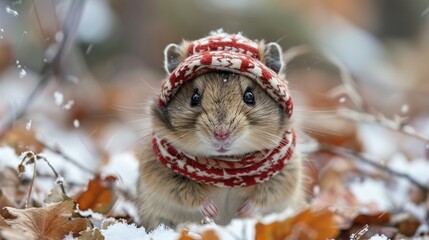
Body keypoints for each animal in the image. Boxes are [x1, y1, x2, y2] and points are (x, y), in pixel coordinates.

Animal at [137, 32, 304, 230]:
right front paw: (213, 212)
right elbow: (188, 195)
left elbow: (264, 196)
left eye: (250, 96)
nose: (221, 134)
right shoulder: (163, 175)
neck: (227, 164)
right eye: (194, 97)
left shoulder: (284, 174)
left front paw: (243, 211)